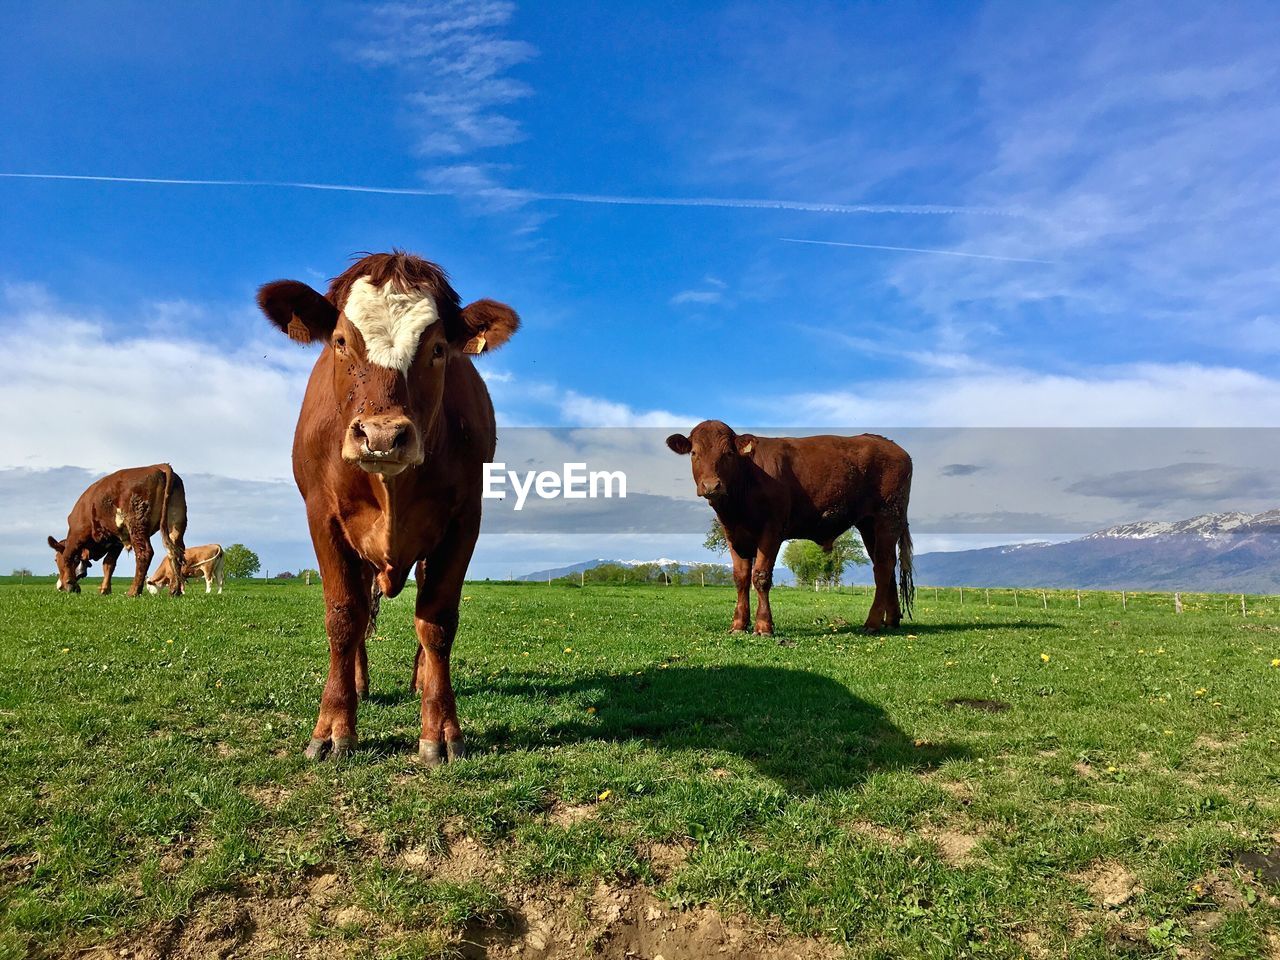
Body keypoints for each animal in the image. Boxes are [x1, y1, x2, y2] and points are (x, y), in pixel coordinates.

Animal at [46, 463, 186, 599]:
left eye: (55, 559)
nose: (59, 586)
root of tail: (159, 466)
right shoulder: (116, 541)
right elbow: (108, 564)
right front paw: (105, 589)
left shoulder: (77, 535)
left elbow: (68, 556)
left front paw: (70, 584)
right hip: (176, 523)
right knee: (176, 552)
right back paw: (175, 591)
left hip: (137, 524)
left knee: (144, 553)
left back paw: (133, 592)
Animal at [257, 252, 517, 762]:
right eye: (340, 341)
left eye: (438, 348)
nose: (381, 436)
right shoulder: (323, 517)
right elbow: (343, 616)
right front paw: (334, 726)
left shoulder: (464, 520)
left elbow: (437, 621)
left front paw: (440, 730)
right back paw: (358, 683)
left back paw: (419, 680)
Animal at [665, 422, 916, 634]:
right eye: (694, 453)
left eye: (728, 453)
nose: (711, 485)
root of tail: (890, 444)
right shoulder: (733, 535)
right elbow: (741, 578)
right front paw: (738, 624)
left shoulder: (772, 529)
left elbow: (761, 576)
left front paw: (763, 626)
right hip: (868, 524)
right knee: (885, 564)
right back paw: (891, 620)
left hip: (888, 517)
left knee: (883, 566)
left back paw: (872, 623)